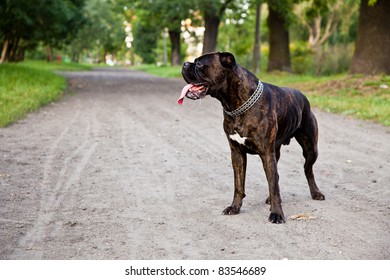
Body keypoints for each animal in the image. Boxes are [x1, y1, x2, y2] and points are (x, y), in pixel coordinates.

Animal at [178, 52, 324, 223]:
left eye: (200, 64)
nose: (185, 64)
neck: (236, 105)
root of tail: (303, 96)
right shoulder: (237, 153)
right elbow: (239, 184)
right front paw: (235, 207)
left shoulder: (266, 154)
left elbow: (273, 186)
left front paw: (277, 214)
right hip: (277, 152)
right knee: (276, 176)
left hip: (310, 149)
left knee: (307, 170)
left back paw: (316, 193)